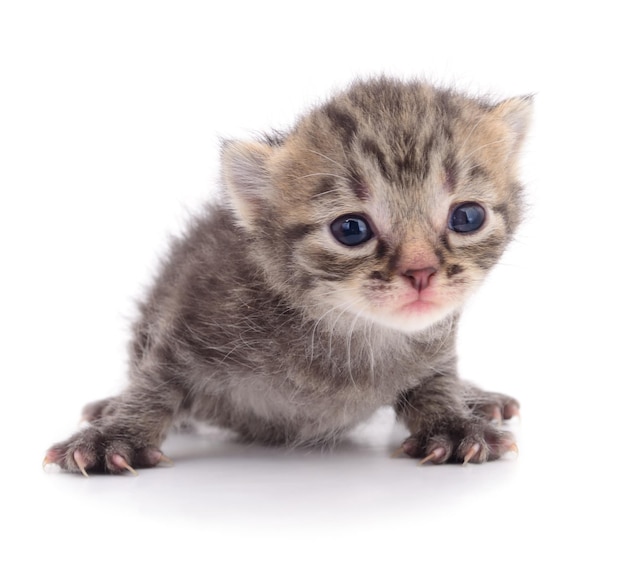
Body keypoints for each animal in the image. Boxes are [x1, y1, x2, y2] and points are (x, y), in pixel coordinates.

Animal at [46, 76, 528, 472]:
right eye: (351, 229)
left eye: (466, 217)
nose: (421, 272)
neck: (349, 332)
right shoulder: (187, 316)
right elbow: (154, 383)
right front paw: (115, 434)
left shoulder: (435, 347)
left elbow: (436, 382)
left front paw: (453, 420)